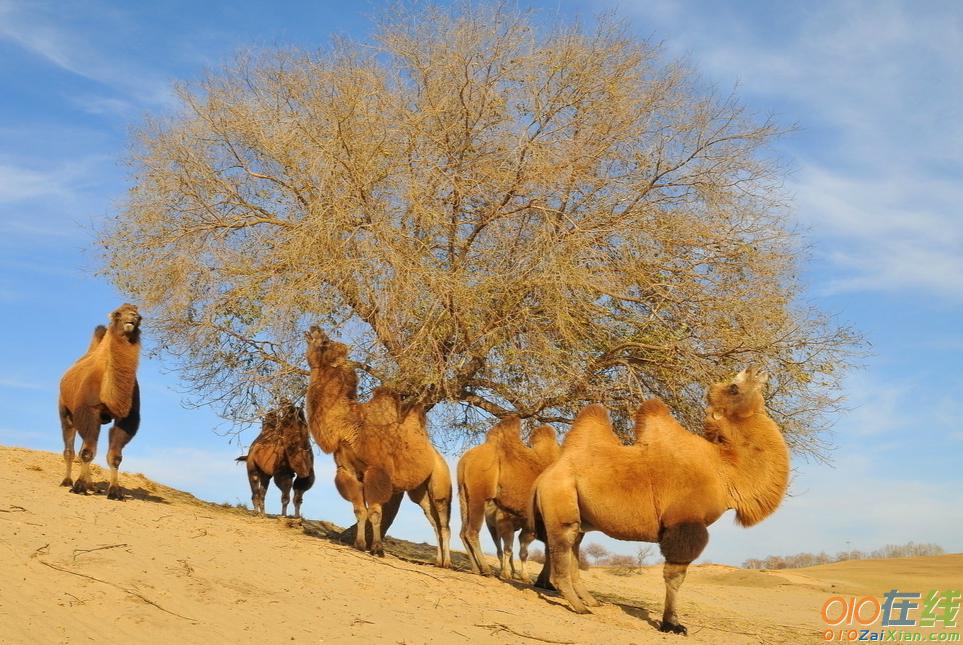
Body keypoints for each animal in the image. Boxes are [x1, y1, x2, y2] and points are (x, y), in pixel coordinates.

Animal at [58, 304, 141, 500]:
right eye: (118, 314)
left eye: (139, 316)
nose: (132, 317)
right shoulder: (89, 409)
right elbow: (87, 452)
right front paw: (79, 486)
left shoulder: (126, 417)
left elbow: (115, 456)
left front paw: (115, 491)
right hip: (65, 411)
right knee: (70, 448)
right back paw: (67, 481)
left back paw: (92, 486)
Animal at [304, 328, 454, 564]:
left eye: (325, 342)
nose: (314, 329)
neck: (349, 426)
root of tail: (440, 459)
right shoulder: (347, 471)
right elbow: (359, 510)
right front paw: (359, 544)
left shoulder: (376, 471)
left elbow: (375, 512)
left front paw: (377, 548)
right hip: (419, 491)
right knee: (433, 520)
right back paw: (438, 561)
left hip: (440, 482)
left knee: (444, 521)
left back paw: (447, 562)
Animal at [458, 418, 560, 580]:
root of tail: (465, 461)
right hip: (478, 496)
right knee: (472, 532)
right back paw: (486, 570)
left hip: (464, 494)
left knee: (463, 532)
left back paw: (476, 569)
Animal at [532, 368, 788, 632]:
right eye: (734, 388)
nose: (756, 370)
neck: (723, 469)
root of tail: (545, 475)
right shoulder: (684, 522)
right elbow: (675, 577)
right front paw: (672, 624)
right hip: (560, 503)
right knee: (561, 550)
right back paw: (579, 607)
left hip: (580, 517)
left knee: (573, 548)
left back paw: (590, 602)